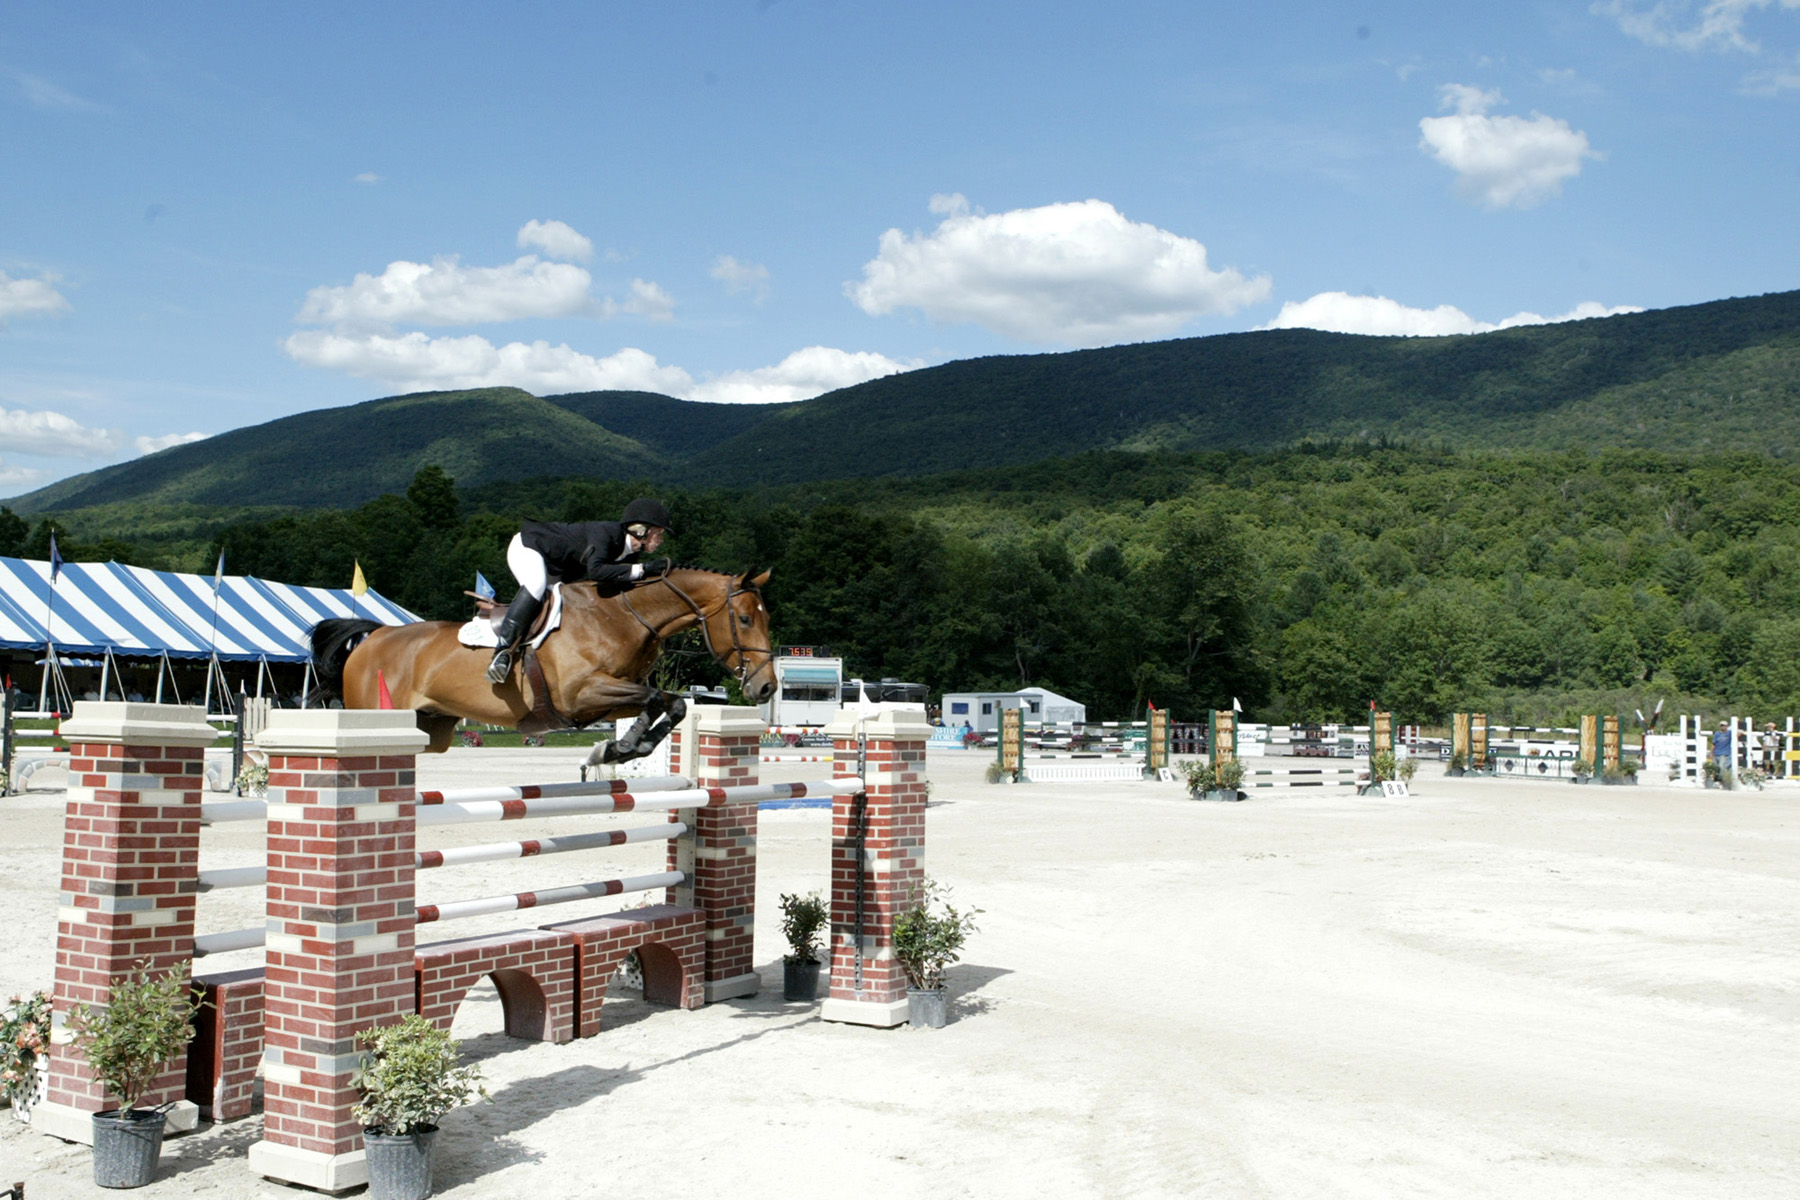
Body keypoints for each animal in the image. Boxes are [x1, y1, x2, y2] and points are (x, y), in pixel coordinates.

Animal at [304, 568, 781, 755]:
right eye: (743, 619)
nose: (766, 688)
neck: (622, 615)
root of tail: (375, 635)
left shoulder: (606, 702)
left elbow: (669, 701)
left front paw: (627, 748)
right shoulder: (582, 694)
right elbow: (659, 698)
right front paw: (625, 747)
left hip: (433, 727)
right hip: (377, 710)